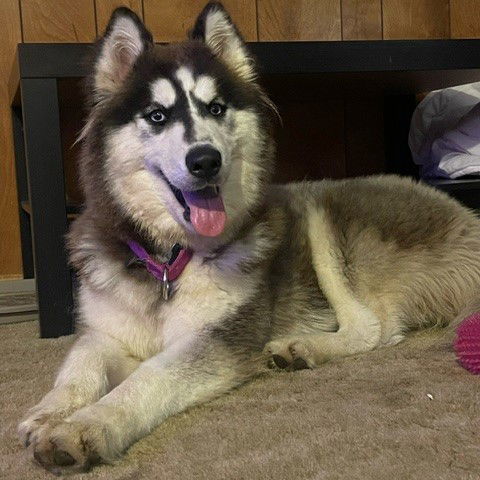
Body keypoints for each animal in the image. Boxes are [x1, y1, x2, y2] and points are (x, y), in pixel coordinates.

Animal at [19, 0, 480, 472]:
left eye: (216, 108)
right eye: (157, 116)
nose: (206, 160)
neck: (167, 260)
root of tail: (464, 216)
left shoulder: (217, 338)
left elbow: (149, 375)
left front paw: (85, 426)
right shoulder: (108, 330)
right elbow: (80, 360)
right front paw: (50, 411)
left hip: (319, 211)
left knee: (374, 327)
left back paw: (304, 347)